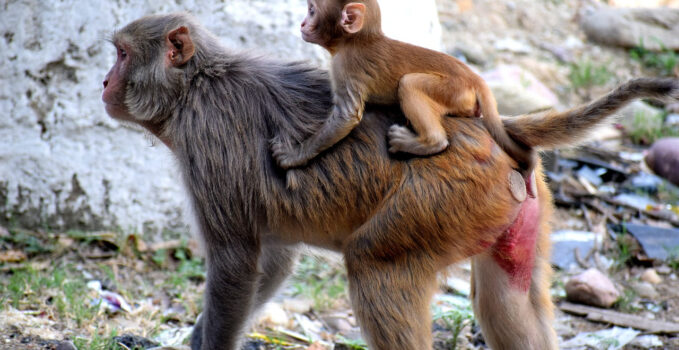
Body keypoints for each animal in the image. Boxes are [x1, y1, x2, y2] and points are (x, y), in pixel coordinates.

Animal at [272, 0, 536, 174]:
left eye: (312, 10)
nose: (302, 23)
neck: (356, 40)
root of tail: (475, 78)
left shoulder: (345, 66)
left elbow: (346, 117)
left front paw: (295, 155)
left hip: (452, 90)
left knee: (409, 84)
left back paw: (426, 142)